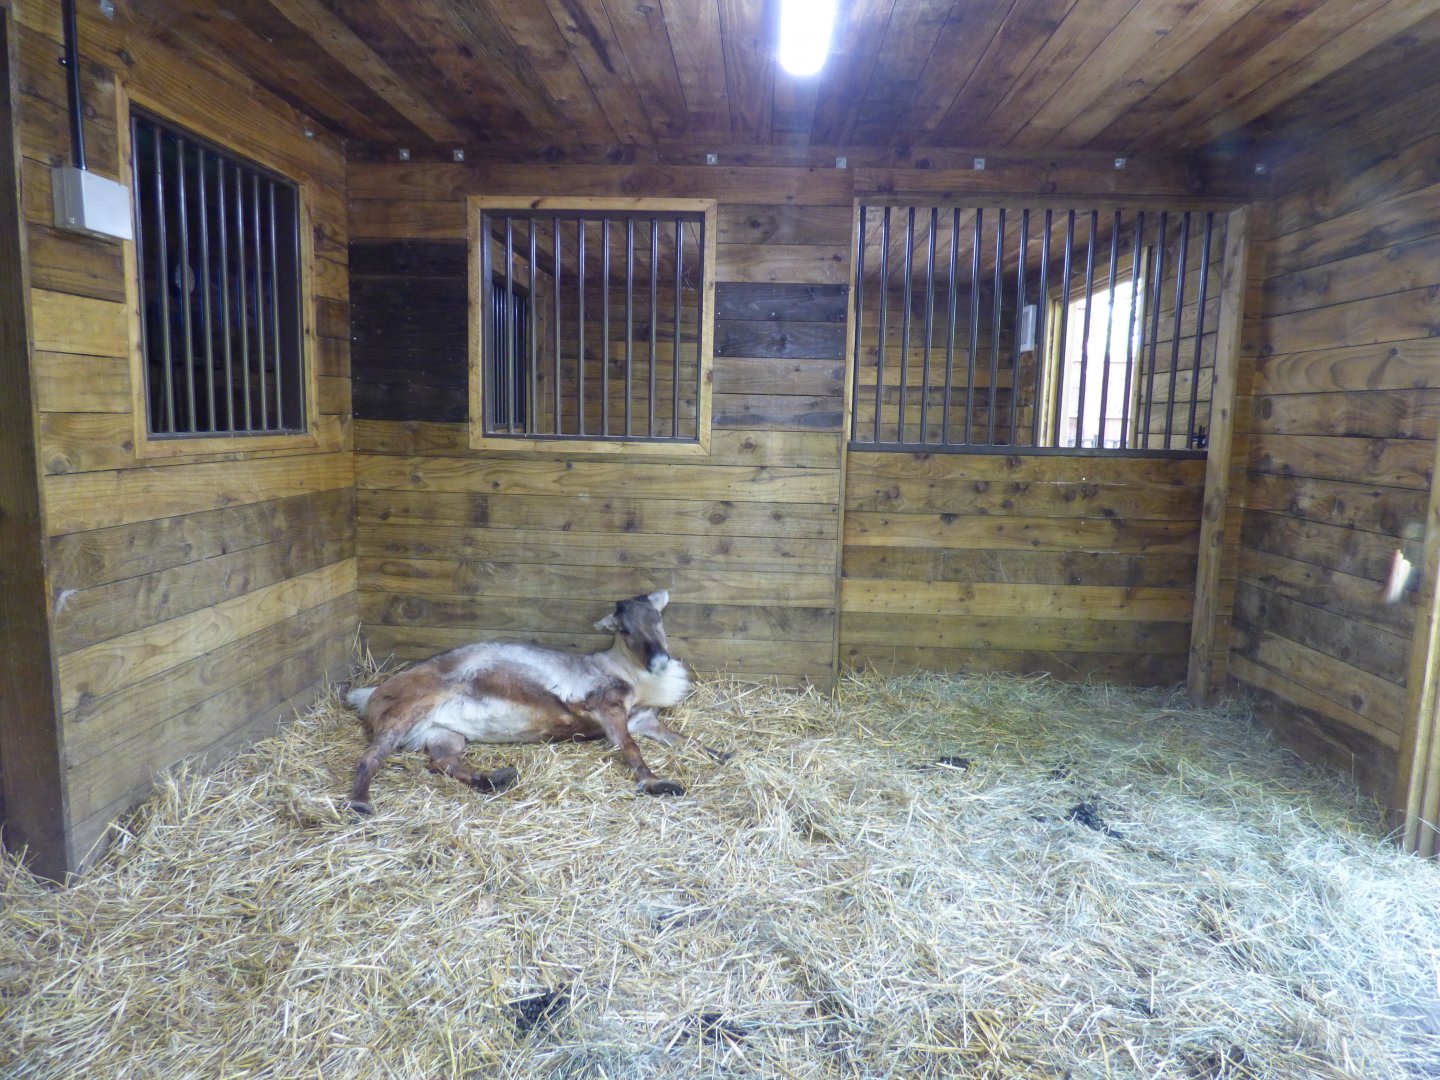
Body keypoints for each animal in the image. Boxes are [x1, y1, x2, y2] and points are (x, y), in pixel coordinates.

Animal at [343, 591, 728, 814]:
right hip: (406, 713)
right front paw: (658, 784)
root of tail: (369, 694)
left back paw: (498, 778)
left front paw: (721, 753)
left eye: (657, 618)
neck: (634, 678)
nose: (660, 661)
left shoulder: (644, 718)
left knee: (441, 763)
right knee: (370, 757)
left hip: (444, 732)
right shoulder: (608, 707)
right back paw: (361, 804)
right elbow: (632, 749)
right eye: (624, 629)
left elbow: (683, 740)